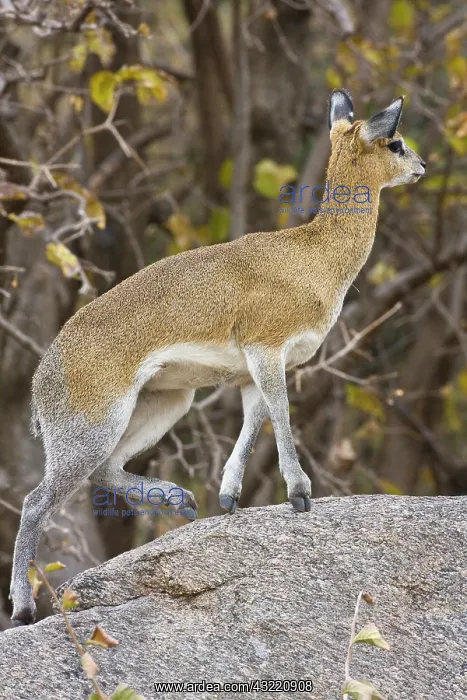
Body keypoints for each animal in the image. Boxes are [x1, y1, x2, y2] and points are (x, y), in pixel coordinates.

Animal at [10, 90, 425, 625]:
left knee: (104, 471)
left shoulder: (253, 369)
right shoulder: (267, 348)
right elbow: (282, 414)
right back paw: (23, 607)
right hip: (94, 426)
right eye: (395, 142)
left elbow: (254, 421)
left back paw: (182, 499)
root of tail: (42, 378)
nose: (421, 165)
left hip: (169, 402)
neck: (313, 259)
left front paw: (228, 497)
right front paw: (300, 493)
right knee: (35, 500)